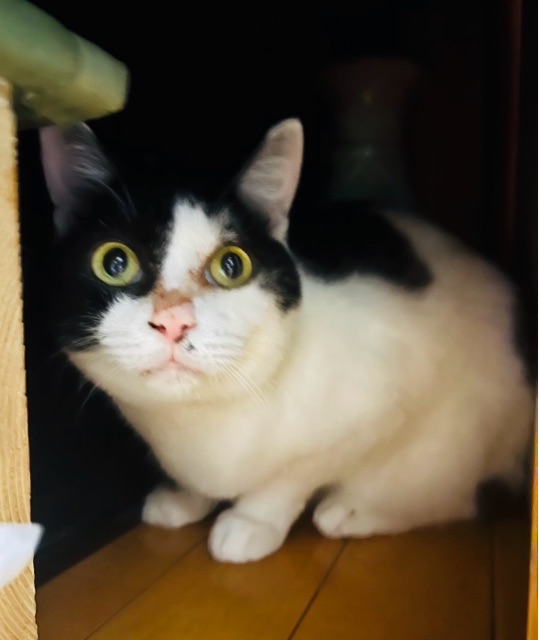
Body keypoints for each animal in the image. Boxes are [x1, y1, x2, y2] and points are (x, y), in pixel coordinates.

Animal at [39, 119, 534, 563]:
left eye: (232, 265)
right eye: (114, 261)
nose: (173, 321)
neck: (201, 426)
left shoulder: (378, 404)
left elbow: (292, 475)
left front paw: (251, 521)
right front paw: (184, 498)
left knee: (453, 496)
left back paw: (351, 511)